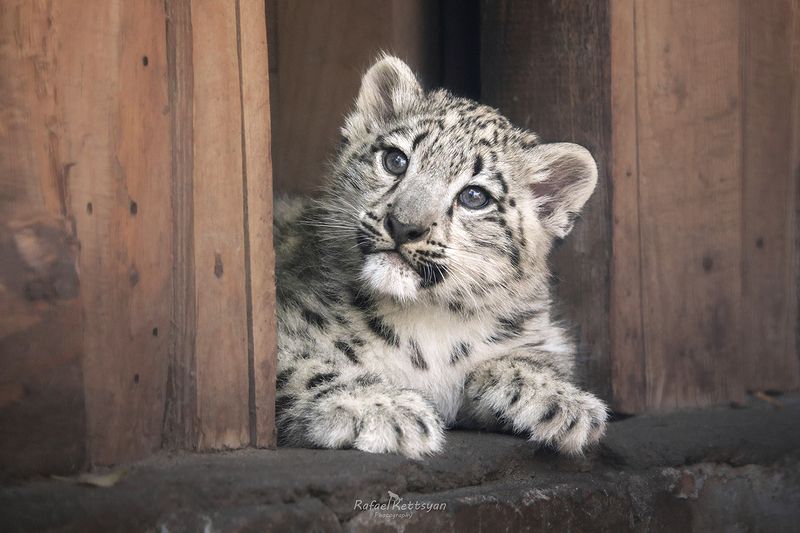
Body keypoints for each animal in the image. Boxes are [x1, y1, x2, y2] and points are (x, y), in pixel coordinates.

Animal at [273, 55, 608, 459]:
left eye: (475, 196)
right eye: (395, 160)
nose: (404, 226)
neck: (425, 321)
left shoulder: (537, 339)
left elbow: (528, 358)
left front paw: (567, 403)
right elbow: (305, 368)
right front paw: (386, 408)